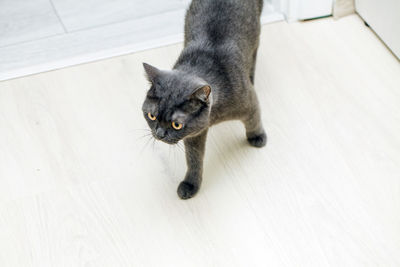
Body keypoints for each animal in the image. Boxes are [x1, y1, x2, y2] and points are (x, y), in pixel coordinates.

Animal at [142, 0, 268, 200]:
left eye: (176, 124)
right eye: (151, 116)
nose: (160, 133)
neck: (214, 118)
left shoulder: (249, 101)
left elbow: (254, 119)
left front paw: (257, 137)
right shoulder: (194, 134)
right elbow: (193, 159)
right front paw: (190, 184)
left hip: (256, 37)